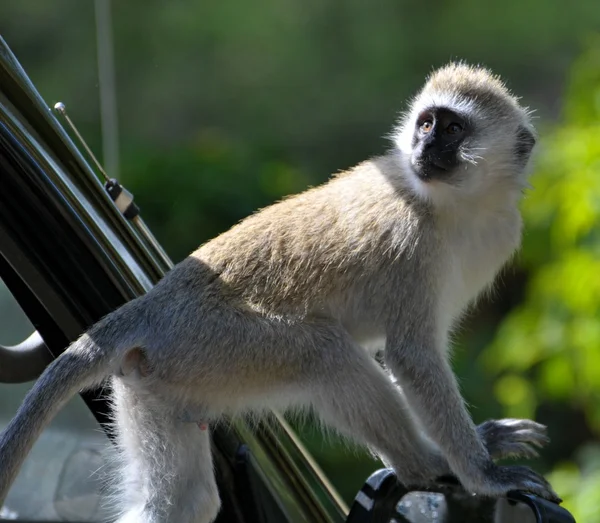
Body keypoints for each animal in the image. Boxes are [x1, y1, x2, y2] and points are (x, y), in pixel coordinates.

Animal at [0, 62, 556, 523]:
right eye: (426, 124)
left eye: (453, 129)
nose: (423, 149)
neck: (460, 207)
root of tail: (152, 306)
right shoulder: (411, 247)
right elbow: (411, 357)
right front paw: (482, 473)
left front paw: (482, 443)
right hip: (212, 343)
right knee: (323, 354)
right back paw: (424, 466)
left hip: (155, 377)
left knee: (183, 502)